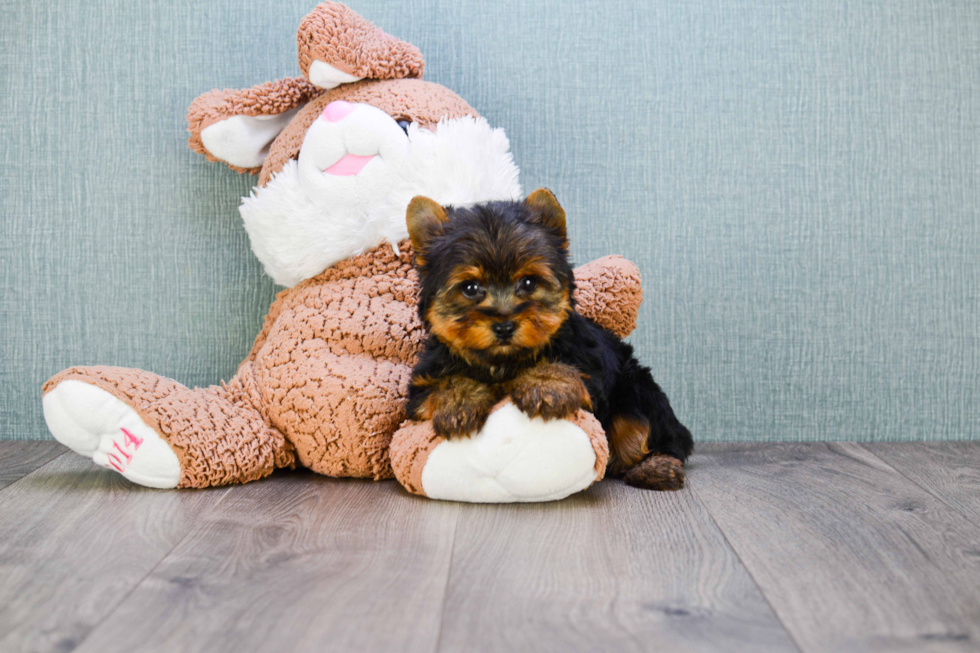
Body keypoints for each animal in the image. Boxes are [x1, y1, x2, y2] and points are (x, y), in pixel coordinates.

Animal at [402, 188, 692, 488]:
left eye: (529, 283)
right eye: (470, 288)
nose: (504, 325)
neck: (503, 362)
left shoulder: (592, 375)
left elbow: (565, 370)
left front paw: (546, 384)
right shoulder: (421, 386)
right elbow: (445, 383)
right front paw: (459, 402)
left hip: (635, 388)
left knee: (650, 432)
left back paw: (657, 466)